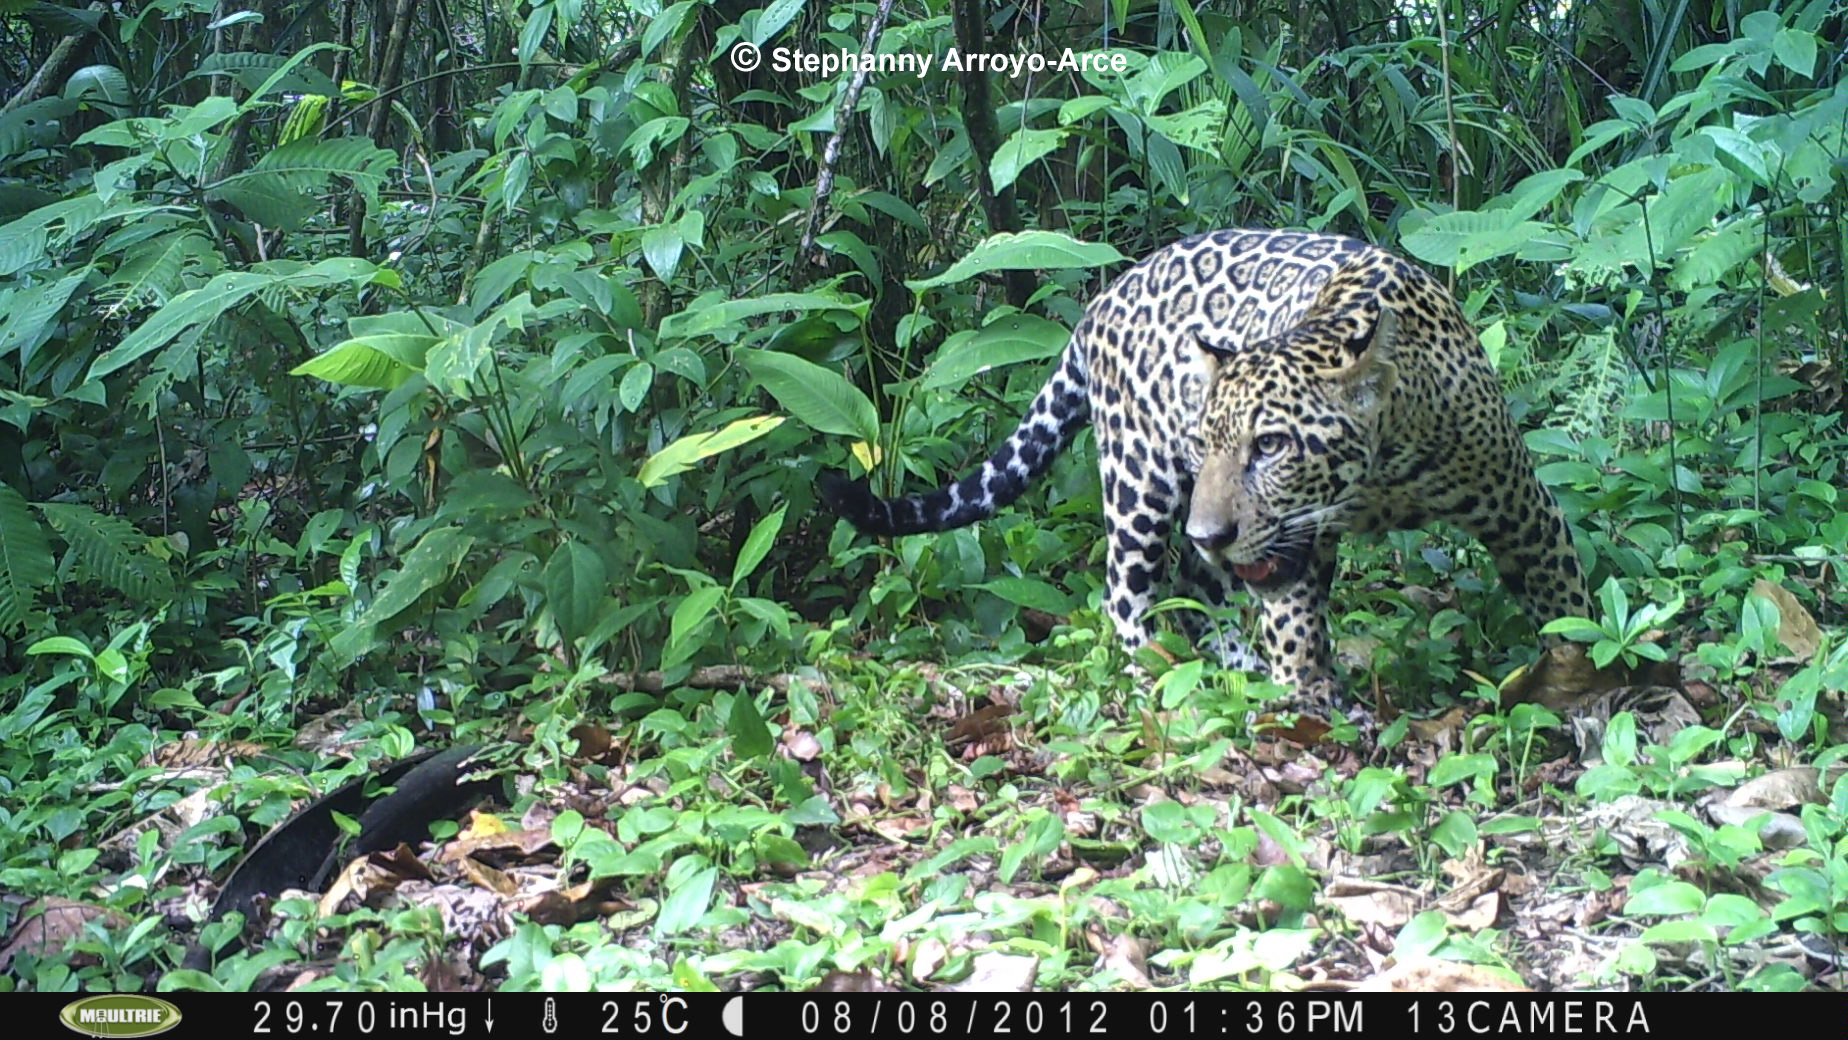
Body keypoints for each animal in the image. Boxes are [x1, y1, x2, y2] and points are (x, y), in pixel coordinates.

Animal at [820, 229, 1590, 708]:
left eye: (1270, 447)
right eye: (1207, 438)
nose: (1213, 532)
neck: (1383, 470)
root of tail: (1099, 302)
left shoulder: (1523, 508)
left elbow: (1566, 603)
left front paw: (1586, 684)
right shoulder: (1291, 550)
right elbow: (1296, 628)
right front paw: (1315, 704)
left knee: (1197, 586)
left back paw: (1235, 665)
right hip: (1140, 483)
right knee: (1131, 593)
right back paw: (1162, 679)